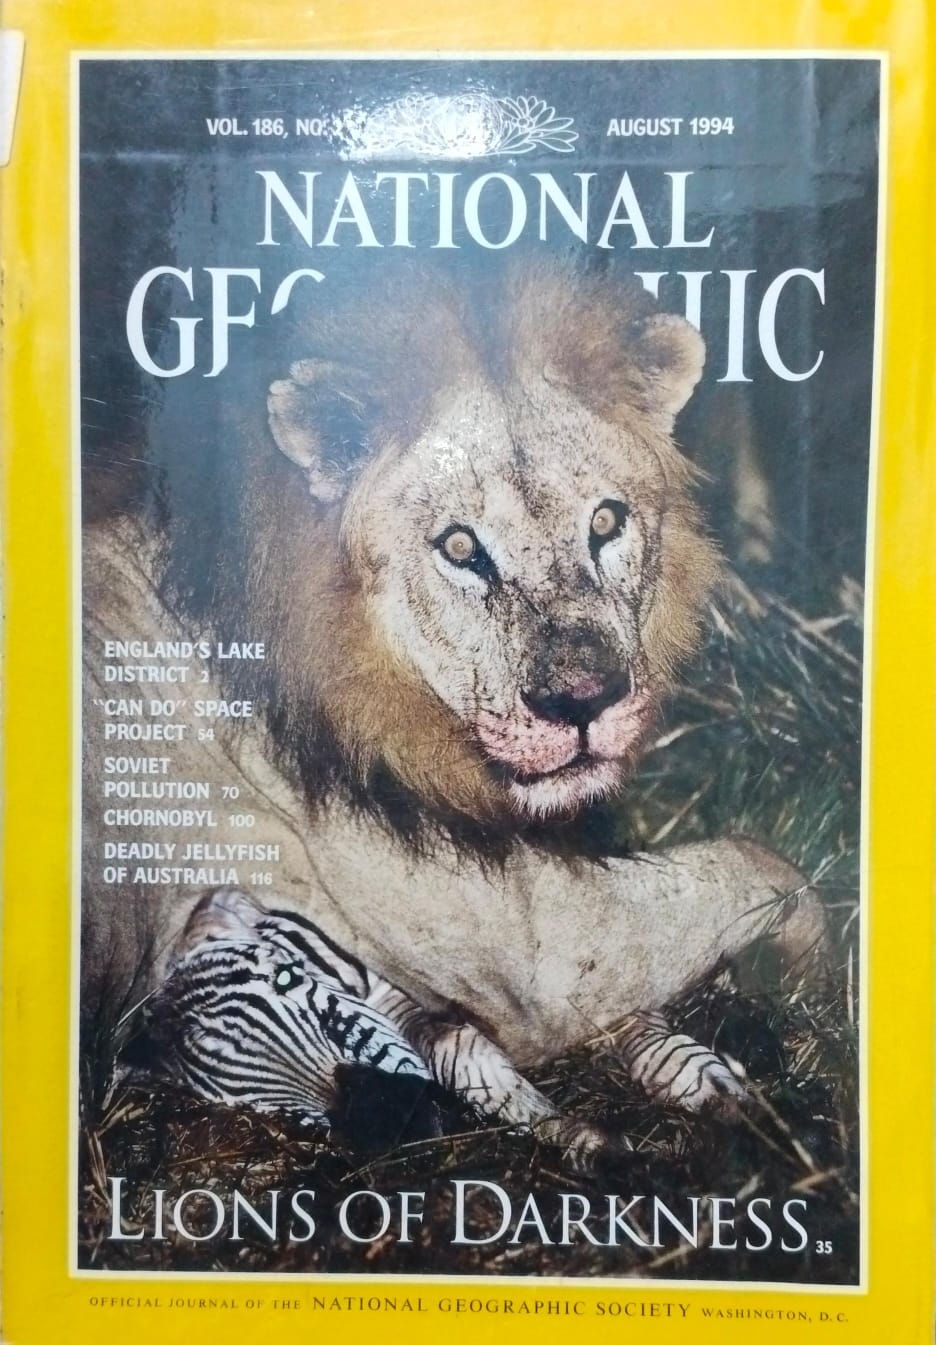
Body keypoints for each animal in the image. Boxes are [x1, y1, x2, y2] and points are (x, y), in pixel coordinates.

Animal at [82, 258, 825, 1159]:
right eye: (462, 547)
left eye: (606, 520)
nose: (582, 701)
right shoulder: (541, 954)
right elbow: (767, 865)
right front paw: (801, 977)